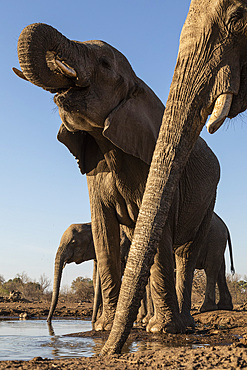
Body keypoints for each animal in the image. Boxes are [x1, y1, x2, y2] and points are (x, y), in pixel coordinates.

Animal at [14, 21, 220, 348]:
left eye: (104, 64)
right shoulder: (95, 170)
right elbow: (103, 228)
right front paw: (103, 327)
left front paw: (161, 331)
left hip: (210, 199)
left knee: (186, 254)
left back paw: (183, 324)